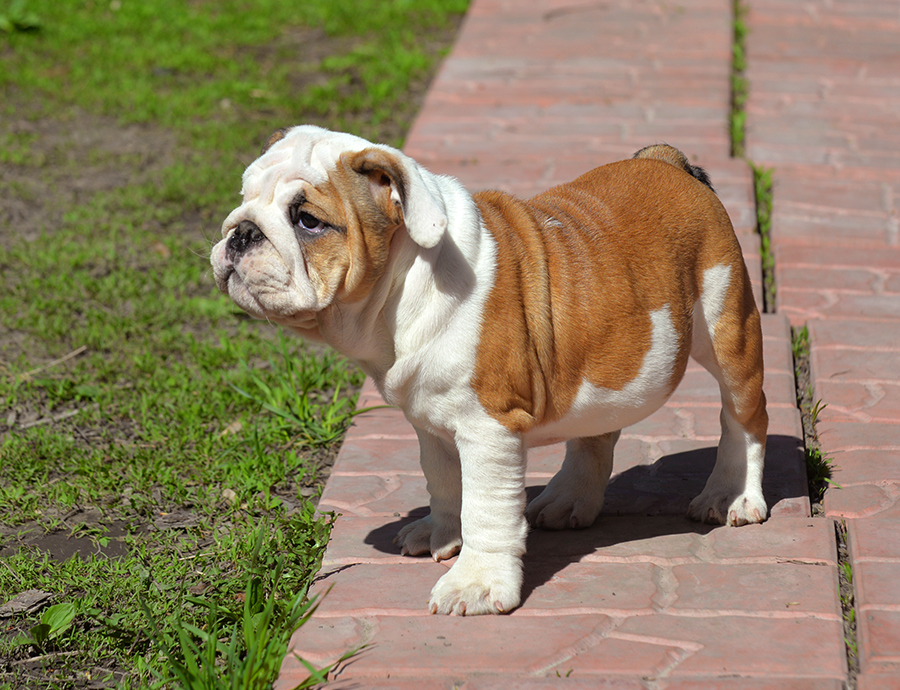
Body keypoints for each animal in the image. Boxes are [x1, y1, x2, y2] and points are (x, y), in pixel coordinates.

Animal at [211, 126, 768, 616]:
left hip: (728, 325)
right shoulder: (430, 421)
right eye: (242, 197)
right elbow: (444, 482)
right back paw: (569, 499)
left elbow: (486, 507)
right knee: (596, 432)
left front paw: (475, 584)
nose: (241, 232)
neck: (403, 287)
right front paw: (441, 533)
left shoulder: (488, 428)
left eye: (307, 220)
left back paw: (731, 494)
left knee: (744, 417)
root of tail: (666, 161)